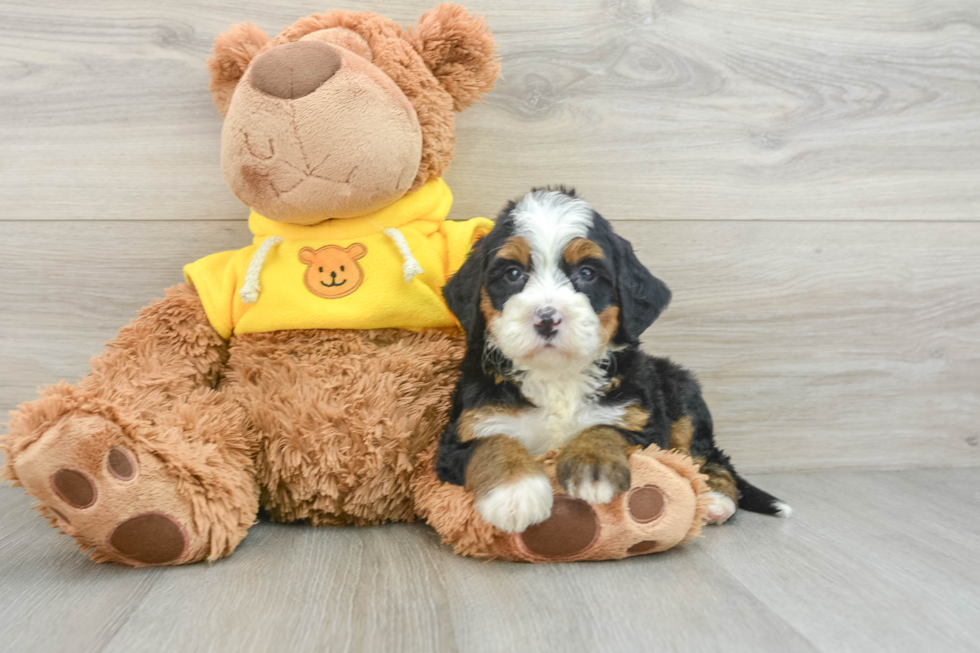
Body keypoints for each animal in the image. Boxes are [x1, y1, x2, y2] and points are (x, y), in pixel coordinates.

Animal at [440, 186, 792, 532]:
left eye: (586, 273)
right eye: (513, 273)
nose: (547, 319)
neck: (557, 376)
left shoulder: (640, 422)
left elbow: (605, 429)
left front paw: (593, 468)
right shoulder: (464, 429)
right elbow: (492, 442)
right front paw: (516, 493)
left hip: (682, 393)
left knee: (710, 456)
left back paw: (716, 499)